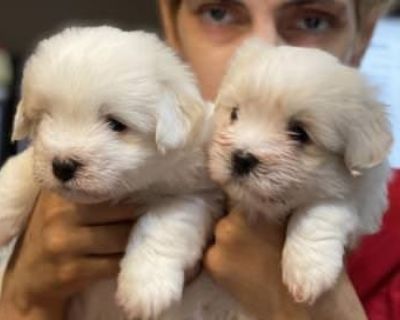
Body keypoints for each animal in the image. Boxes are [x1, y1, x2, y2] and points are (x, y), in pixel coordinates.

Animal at [0, 26, 222, 320]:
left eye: (116, 124)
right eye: (46, 118)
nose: (62, 166)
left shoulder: (197, 190)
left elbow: (164, 223)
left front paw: (145, 286)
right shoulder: (38, 158)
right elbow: (21, 168)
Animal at [209, 38, 394, 304]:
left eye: (299, 133)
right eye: (235, 114)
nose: (241, 158)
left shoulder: (363, 199)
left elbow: (323, 209)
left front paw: (308, 270)